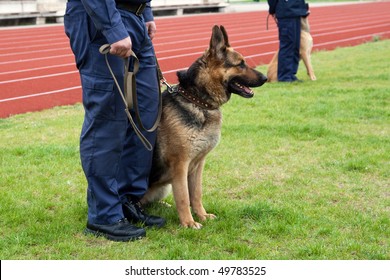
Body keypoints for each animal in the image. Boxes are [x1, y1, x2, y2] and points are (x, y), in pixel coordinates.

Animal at [141, 25, 268, 229]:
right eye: (240, 64)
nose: (265, 77)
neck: (198, 101)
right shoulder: (180, 165)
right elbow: (184, 197)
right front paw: (188, 223)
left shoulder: (198, 165)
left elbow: (196, 193)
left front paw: (202, 215)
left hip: (164, 186)